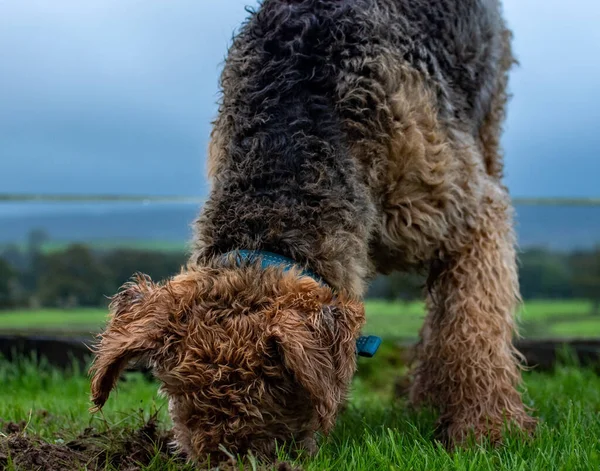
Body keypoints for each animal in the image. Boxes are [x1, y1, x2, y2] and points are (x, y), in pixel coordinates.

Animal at [88, 0, 536, 464]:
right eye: (178, 388)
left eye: (274, 385)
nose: (231, 459)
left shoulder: (471, 212)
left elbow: (474, 325)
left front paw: (486, 430)